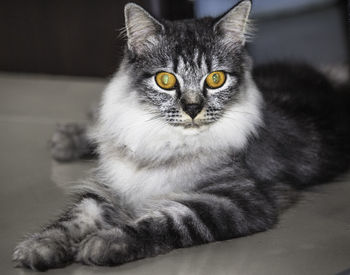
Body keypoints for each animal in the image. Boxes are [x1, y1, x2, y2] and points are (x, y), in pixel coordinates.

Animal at [11, 0, 350, 272]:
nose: (192, 108)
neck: (165, 142)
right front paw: (39, 247)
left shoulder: (236, 201)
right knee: (99, 126)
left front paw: (105, 242)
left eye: (215, 79)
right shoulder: (108, 186)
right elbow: (70, 220)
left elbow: (163, 221)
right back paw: (66, 140)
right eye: (165, 80)